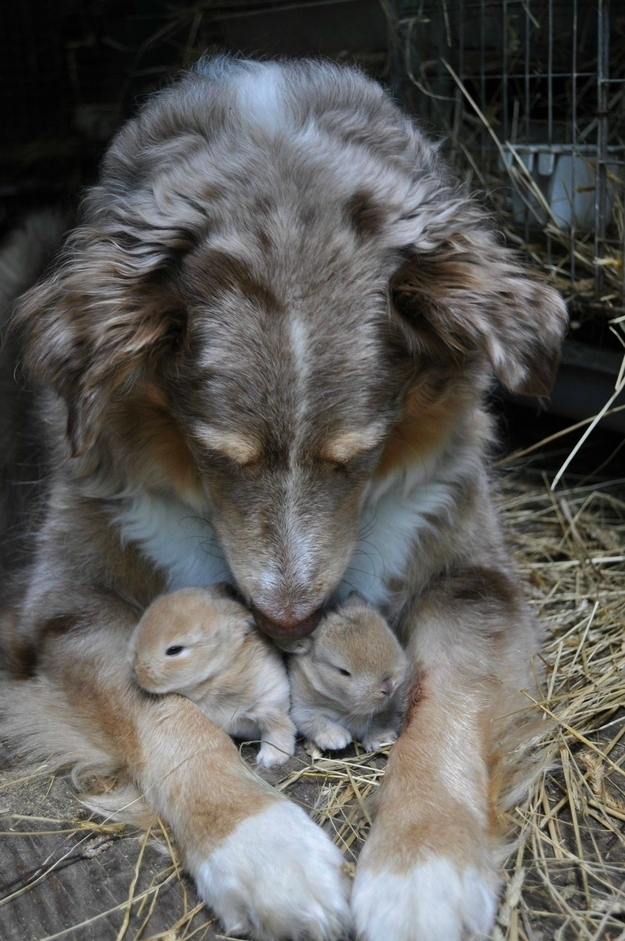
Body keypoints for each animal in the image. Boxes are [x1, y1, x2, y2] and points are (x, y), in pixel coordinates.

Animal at [129, 588, 294, 772]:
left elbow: (278, 730)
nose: (135, 669)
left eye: (174, 650)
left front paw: (270, 758)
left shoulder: (271, 703)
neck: (216, 674)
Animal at [286, 596, 408, 756]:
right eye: (343, 672)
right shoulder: (302, 710)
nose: (388, 687)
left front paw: (381, 739)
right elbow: (317, 721)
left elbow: (382, 720)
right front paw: (337, 740)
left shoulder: (391, 707)